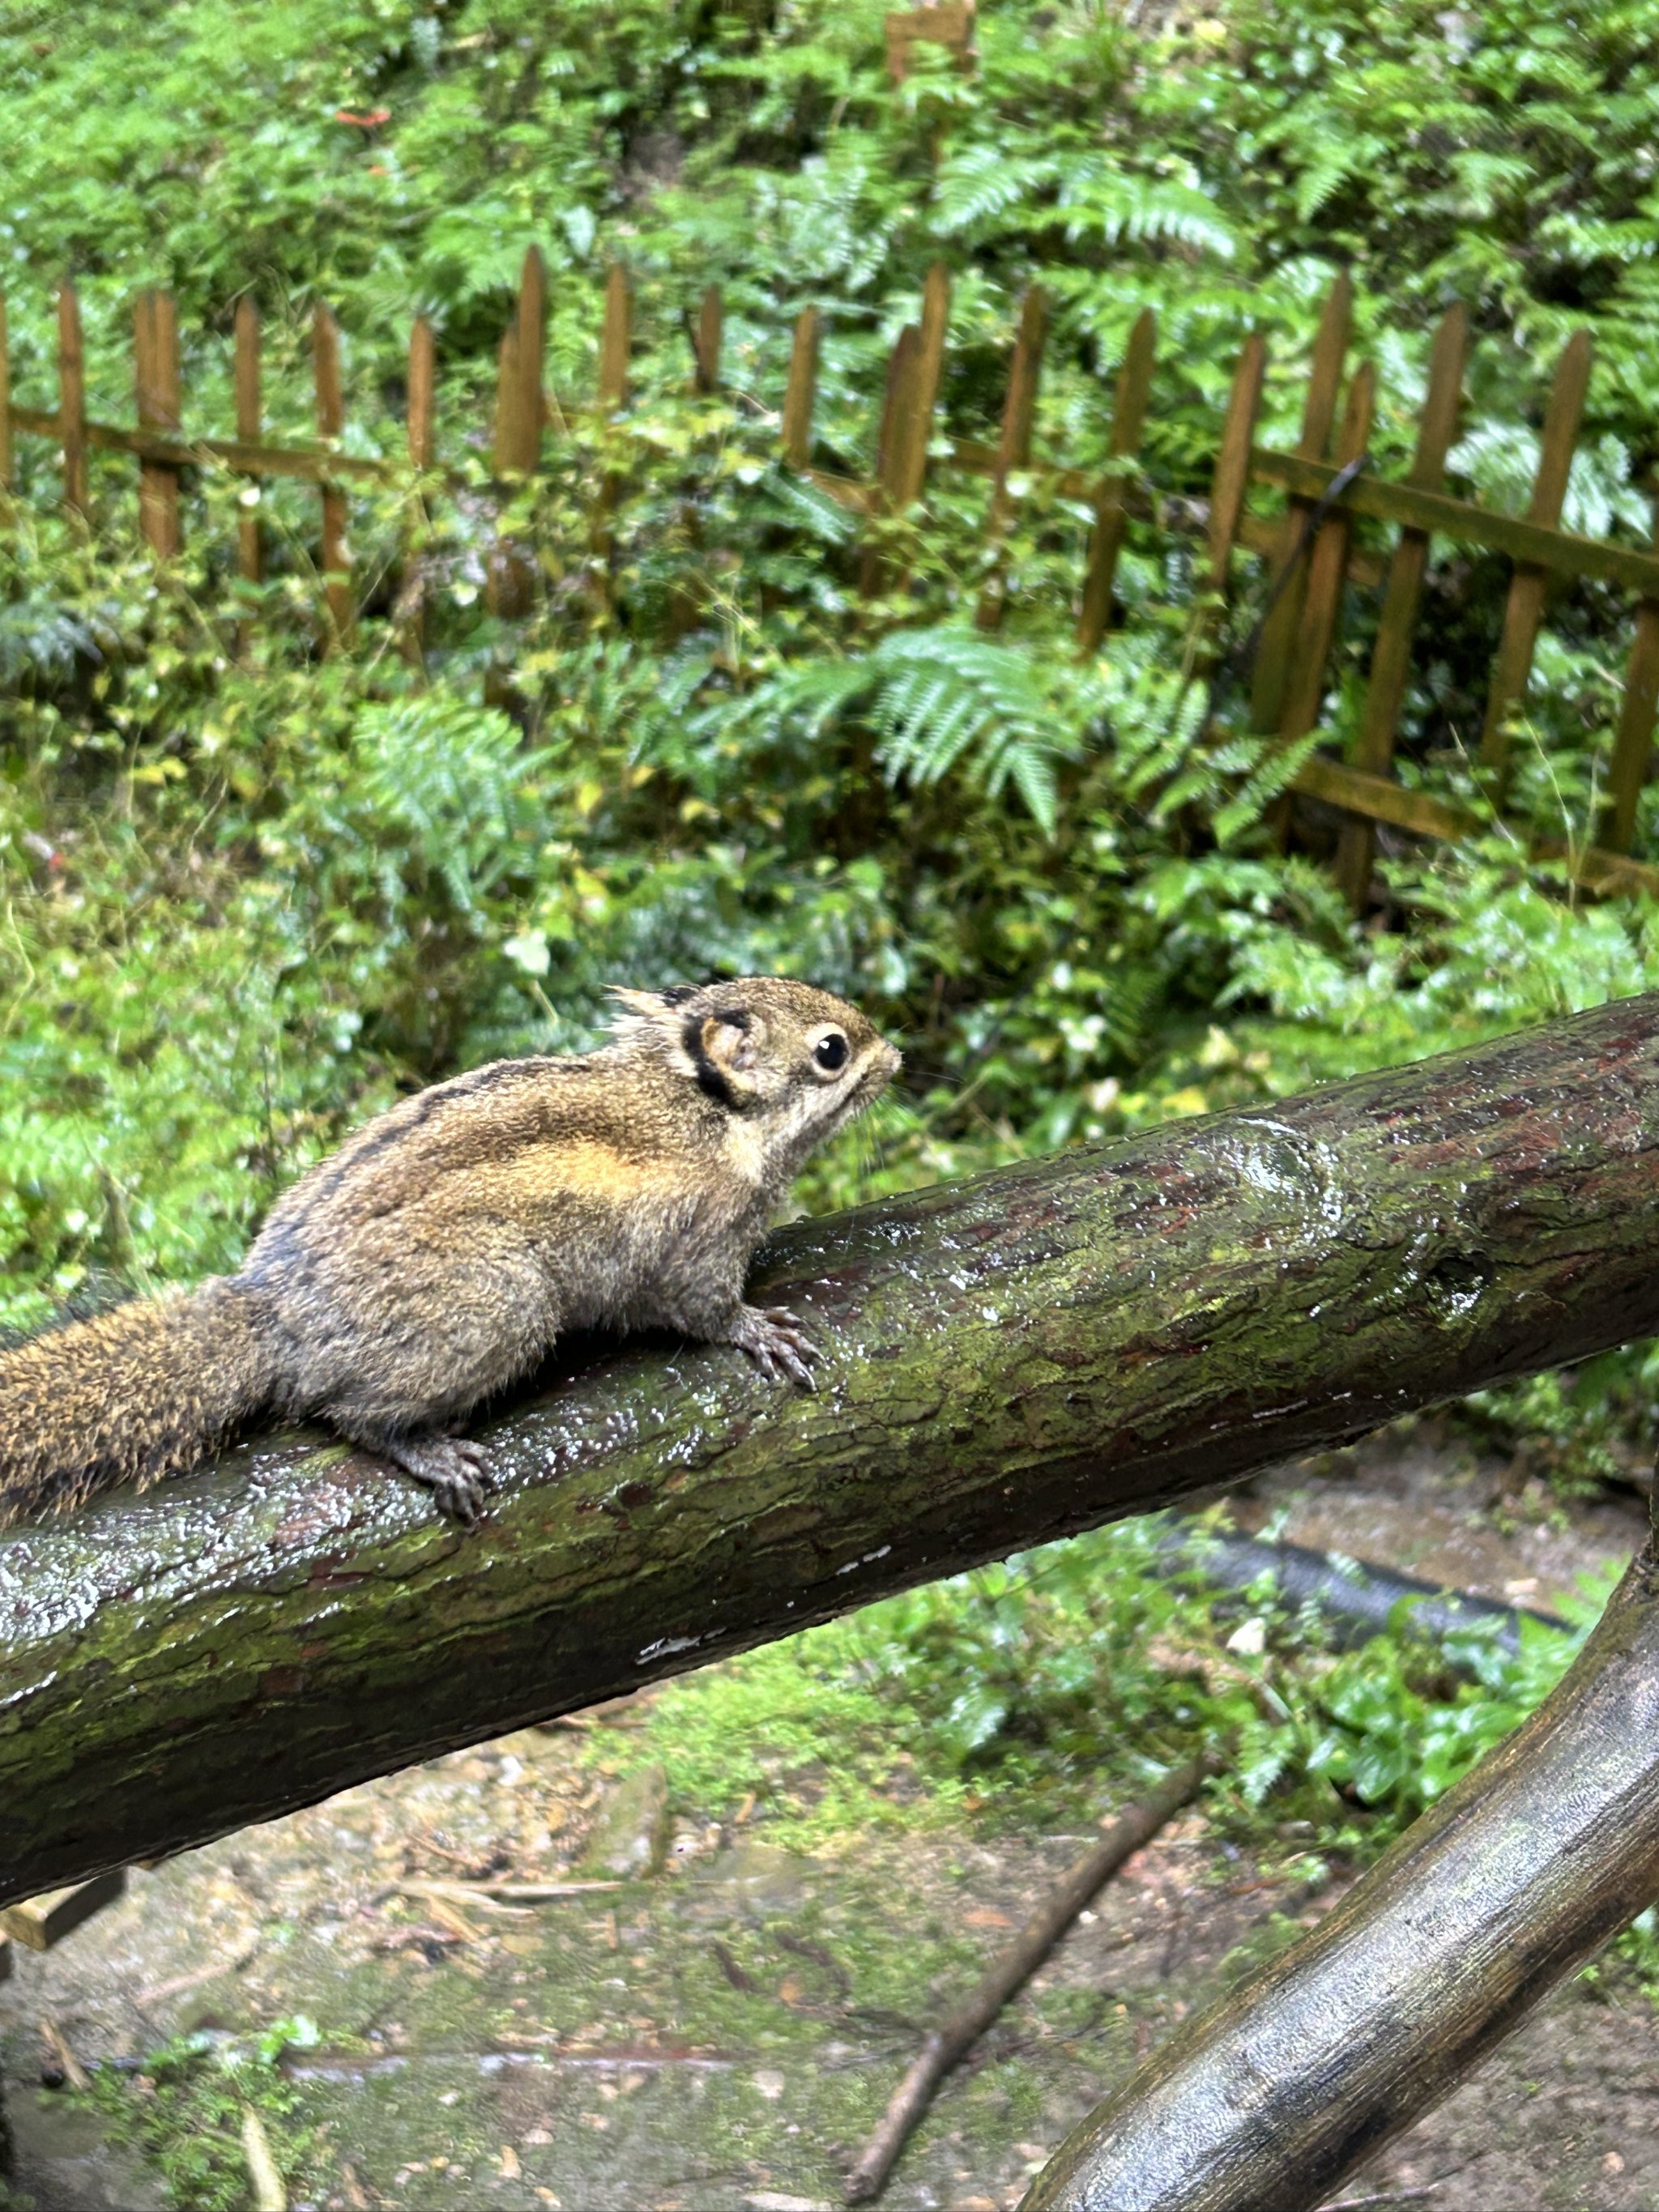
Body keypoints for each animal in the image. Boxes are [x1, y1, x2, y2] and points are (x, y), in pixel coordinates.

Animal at [0, 978, 902, 1530]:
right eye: (831, 1050)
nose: (896, 1055)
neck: (710, 1114)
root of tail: (274, 1314)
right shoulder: (695, 1248)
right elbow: (707, 1309)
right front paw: (758, 1331)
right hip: (500, 1306)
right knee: (350, 1413)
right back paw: (424, 1448)